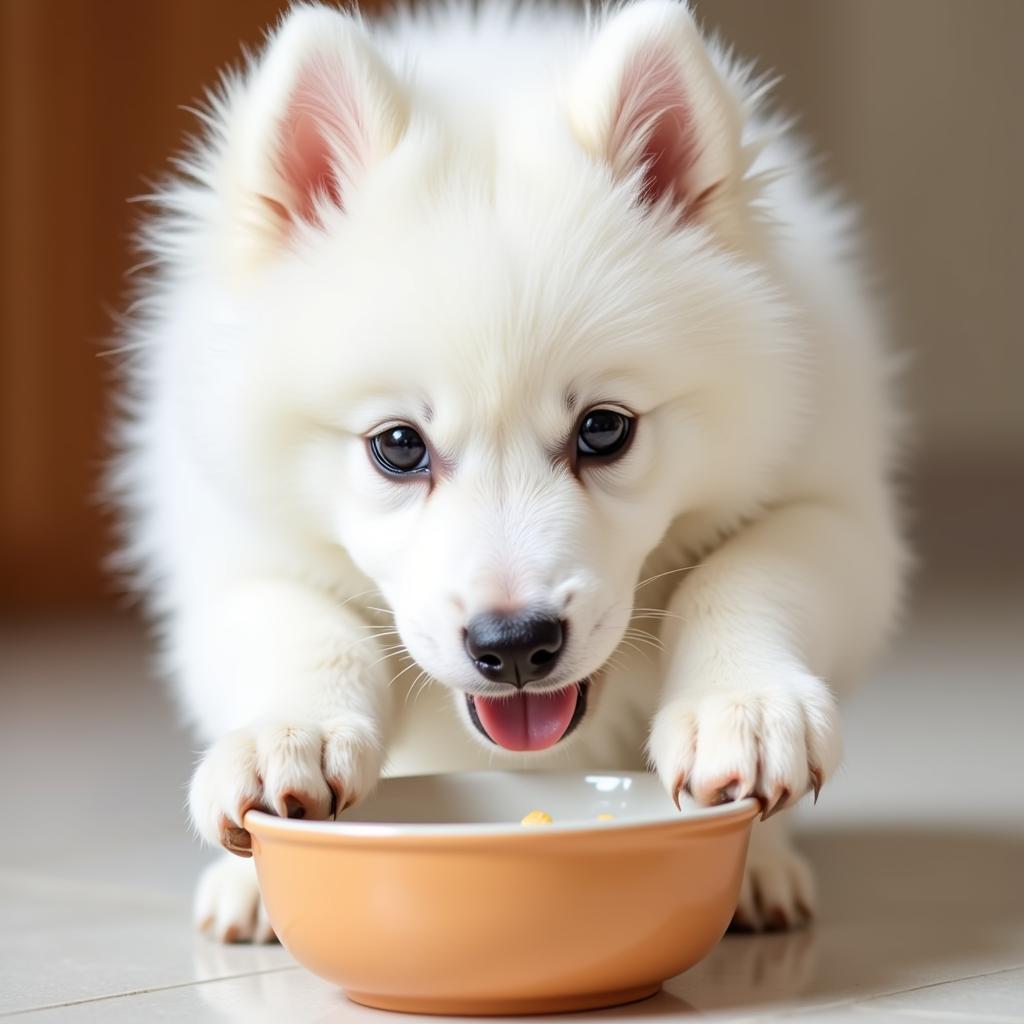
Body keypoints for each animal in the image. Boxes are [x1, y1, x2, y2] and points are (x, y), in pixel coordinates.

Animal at [112, 0, 905, 942]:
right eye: (398, 445)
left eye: (604, 430)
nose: (516, 645)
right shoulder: (235, 553)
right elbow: (309, 630)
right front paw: (285, 740)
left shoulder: (831, 506)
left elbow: (745, 576)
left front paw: (740, 709)